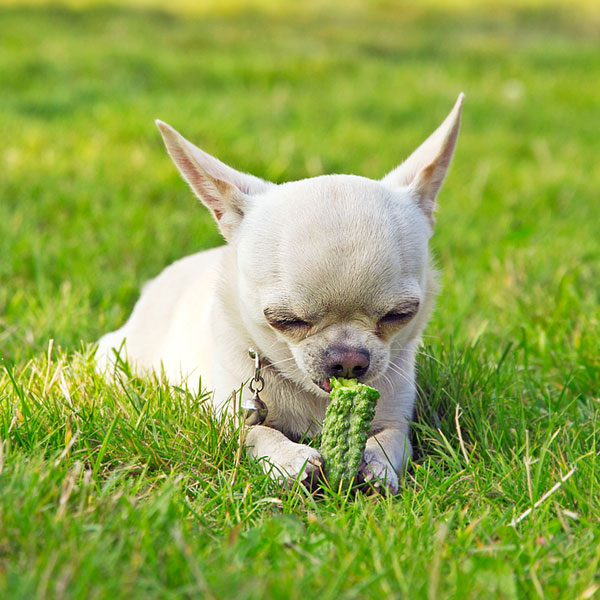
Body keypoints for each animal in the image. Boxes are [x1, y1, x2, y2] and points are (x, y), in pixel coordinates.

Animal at [97, 95, 464, 492]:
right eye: (286, 321)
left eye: (399, 315)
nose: (349, 360)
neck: (316, 399)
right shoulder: (230, 413)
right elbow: (258, 433)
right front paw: (289, 458)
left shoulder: (398, 414)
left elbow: (393, 437)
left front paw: (376, 460)